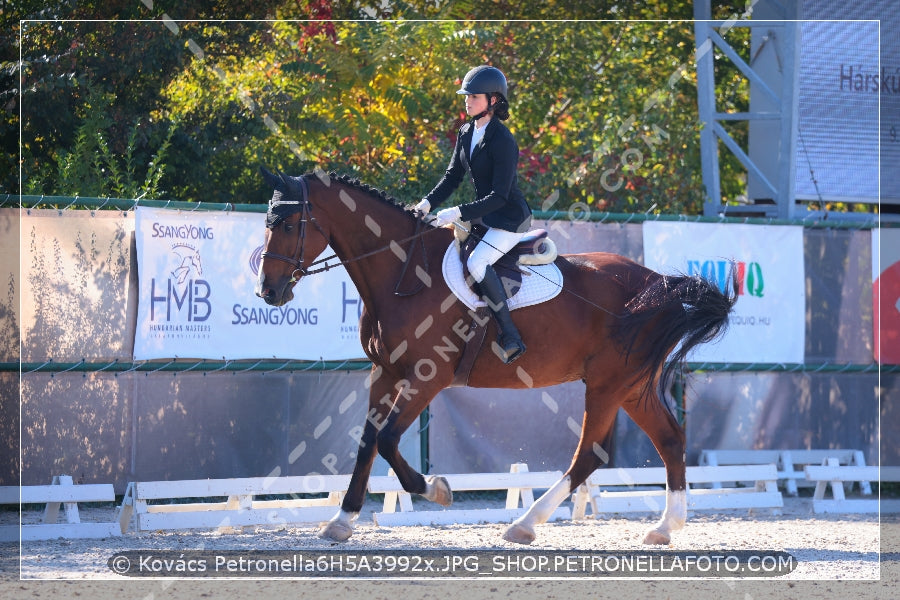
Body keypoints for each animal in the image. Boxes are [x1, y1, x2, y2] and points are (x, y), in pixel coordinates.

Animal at [256, 166, 736, 548]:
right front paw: (341, 520)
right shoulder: (385, 372)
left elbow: (388, 440)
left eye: (289, 223)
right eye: (268, 222)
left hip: (607, 383)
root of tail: (657, 282)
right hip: (631, 386)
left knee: (589, 455)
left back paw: (525, 524)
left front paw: (436, 489)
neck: (404, 272)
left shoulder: (427, 378)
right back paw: (664, 528)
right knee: (669, 440)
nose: (269, 292)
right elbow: (367, 442)